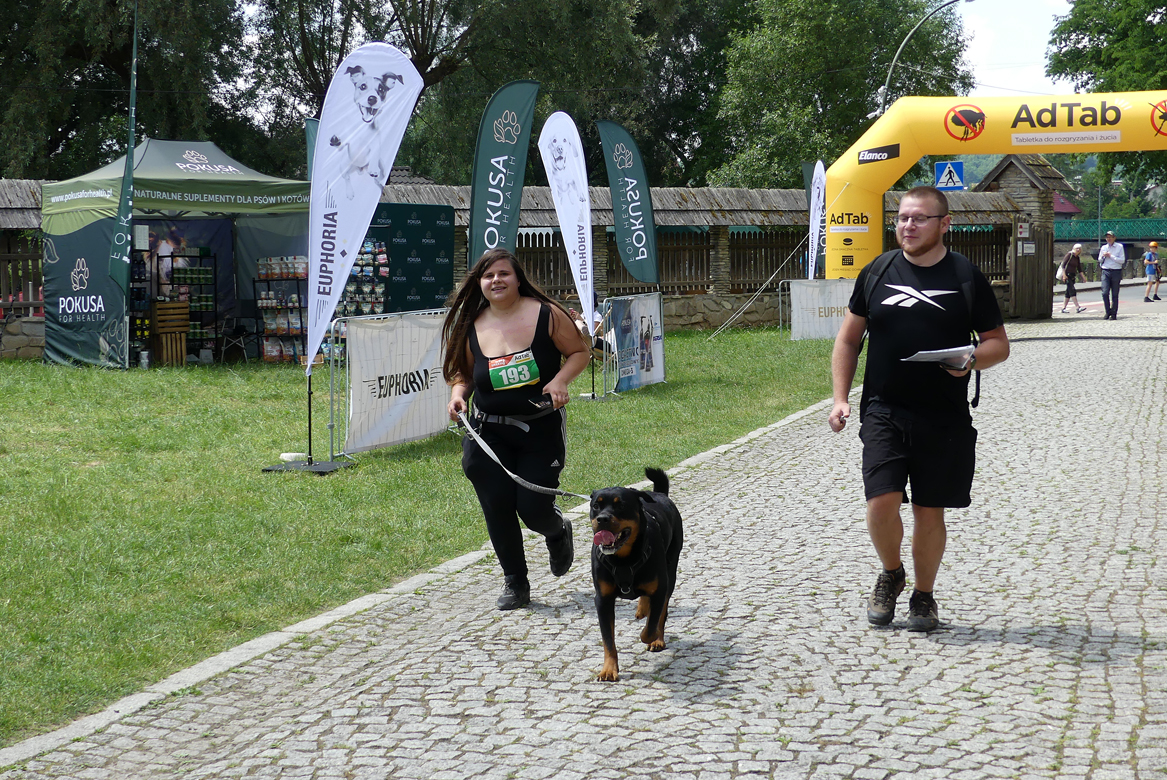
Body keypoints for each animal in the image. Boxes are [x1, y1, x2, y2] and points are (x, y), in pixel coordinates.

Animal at [330, 64, 405, 199]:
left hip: (383, 168)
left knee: (378, 178)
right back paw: (349, 192)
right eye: (363, 86)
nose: (372, 99)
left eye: (381, 89)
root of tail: (359, 169)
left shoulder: (375, 143)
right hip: (344, 167)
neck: (363, 127)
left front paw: (373, 170)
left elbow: (374, 154)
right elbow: (341, 141)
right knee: (347, 178)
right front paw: (336, 139)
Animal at [590, 467, 683, 682]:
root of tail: (660, 494)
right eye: (596, 506)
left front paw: (650, 636)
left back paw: (658, 638)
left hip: (671, 572)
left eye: (621, 505)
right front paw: (609, 669)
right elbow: (608, 639)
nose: (602, 519)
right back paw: (642, 608)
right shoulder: (603, 599)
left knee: (662, 612)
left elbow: (651, 625)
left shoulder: (659, 590)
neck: (623, 559)